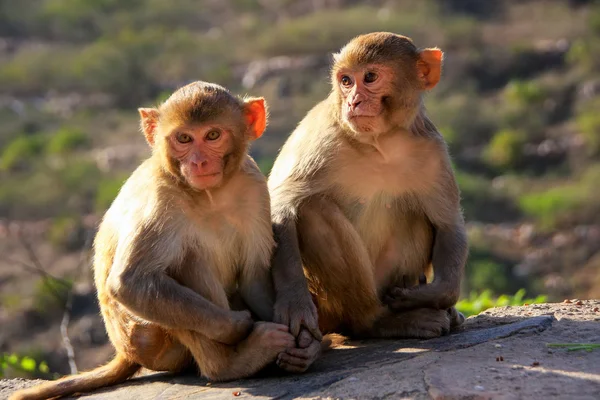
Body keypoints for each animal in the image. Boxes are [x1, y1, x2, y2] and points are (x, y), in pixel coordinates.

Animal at [11, 81, 316, 400]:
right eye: (184, 138)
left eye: (213, 135)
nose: (199, 161)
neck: (210, 195)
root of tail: (124, 351)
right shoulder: (159, 198)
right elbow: (131, 282)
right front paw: (238, 326)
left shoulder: (254, 187)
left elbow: (253, 276)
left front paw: (306, 342)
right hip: (147, 338)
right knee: (186, 261)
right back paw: (232, 362)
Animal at [268, 32, 468, 364]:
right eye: (346, 81)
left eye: (370, 77)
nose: (353, 101)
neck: (380, 143)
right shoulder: (319, 138)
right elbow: (281, 207)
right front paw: (295, 304)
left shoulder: (432, 150)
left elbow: (448, 223)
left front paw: (432, 295)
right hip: (329, 304)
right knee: (312, 211)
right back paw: (380, 321)